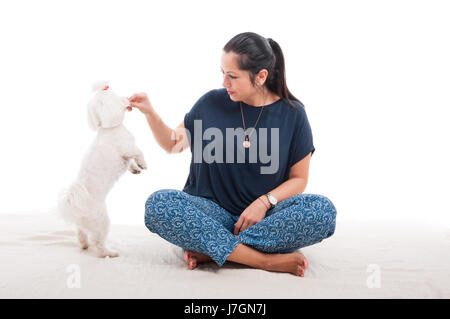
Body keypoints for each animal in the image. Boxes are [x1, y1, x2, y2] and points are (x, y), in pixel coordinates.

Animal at [56, 81, 148, 258]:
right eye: (118, 96)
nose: (128, 97)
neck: (109, 127)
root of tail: (75, 207)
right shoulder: (127, 147)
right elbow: (138, 152)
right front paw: (143, 164)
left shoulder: (126, 155)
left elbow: (130, 163)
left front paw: (135, 169)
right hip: (101, 221)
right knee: (98, 243)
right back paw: (108, 253)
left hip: (84, 224)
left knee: (81, 233)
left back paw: (84, 245)